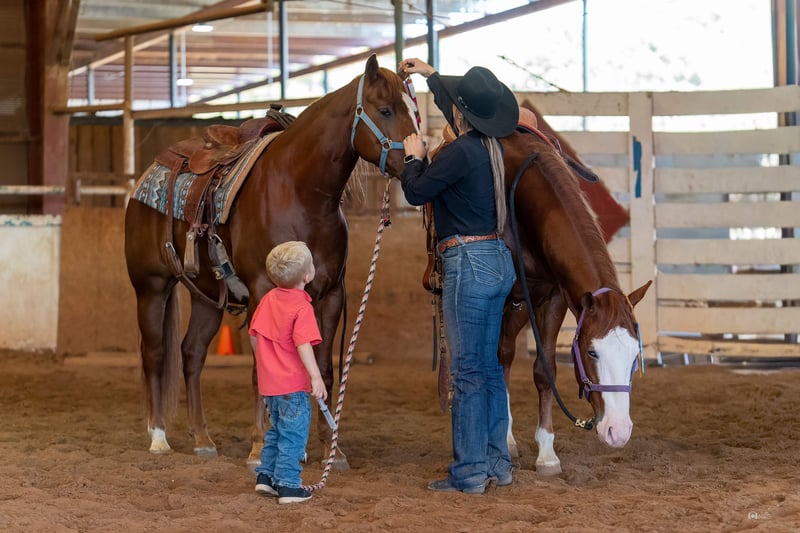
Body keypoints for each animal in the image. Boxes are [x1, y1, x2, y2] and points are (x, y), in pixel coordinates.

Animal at [124, 54, 419, 467]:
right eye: (386, 109)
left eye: (413, 109)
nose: (417, 160)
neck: (299, 191)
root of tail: (147, 176)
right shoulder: (263, 292)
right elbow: (261, 370)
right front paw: (259, 447)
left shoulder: (330, 295)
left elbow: (322, 368)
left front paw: (330, 449)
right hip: (150, 287)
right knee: (154, 353)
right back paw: (158, 437)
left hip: (207, 298)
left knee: (191, 354)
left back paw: (202, 439)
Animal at [496, 121, 651, 476]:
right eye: (591, 352)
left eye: (635, 354)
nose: (618, 431)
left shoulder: (554, 296)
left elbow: (545, 371)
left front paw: (546, 453)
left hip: (521, 306)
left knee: (507, 354)